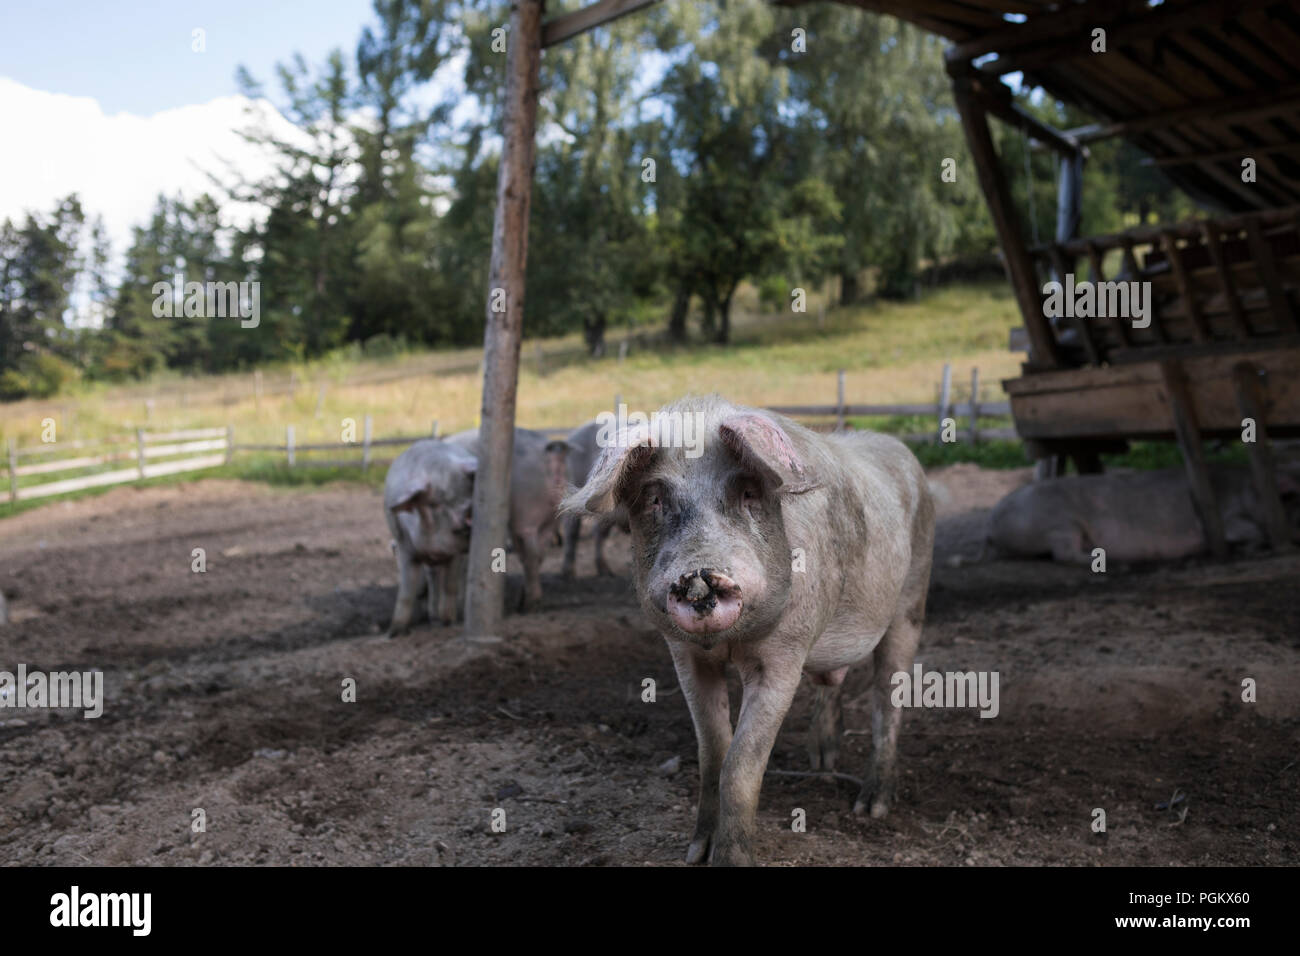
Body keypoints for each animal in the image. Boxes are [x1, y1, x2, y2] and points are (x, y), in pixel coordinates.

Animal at [382, 439, 480, 634]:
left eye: (468, 491)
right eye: (434, 504)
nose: (469, 510)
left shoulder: (455, 553)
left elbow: (450, 585)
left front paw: (449, 622)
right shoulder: (404, 545)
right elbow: (406, 591)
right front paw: (395, 632)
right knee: (433, 579)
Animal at [447, 429, 569, 608]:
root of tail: (552, 456)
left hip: (526, 514)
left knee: (531, 554)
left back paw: (528, 603)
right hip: (550, 518)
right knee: (538, 552)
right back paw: (525, 599)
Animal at [982, 465, 1300, 564]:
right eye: (1294, 497)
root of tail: (992, 521)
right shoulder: (1222, 517)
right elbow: (1247, 529)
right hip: (1058, 523)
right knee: (1064, 555)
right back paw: (1111, 562)